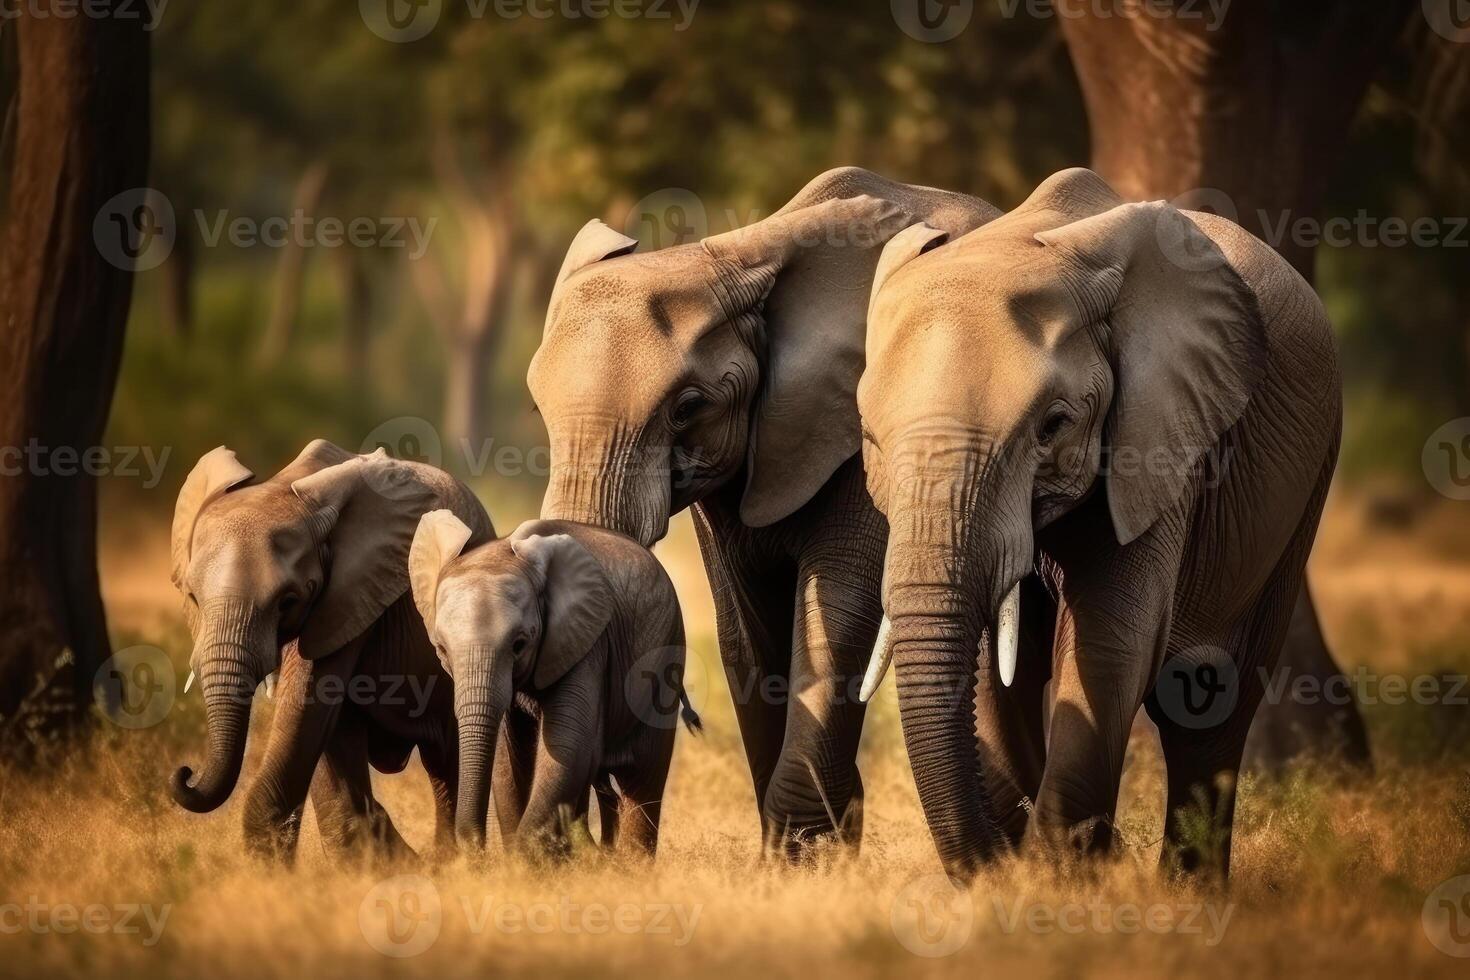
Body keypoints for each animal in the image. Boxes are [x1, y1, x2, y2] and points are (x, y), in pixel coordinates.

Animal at [168, 437, 493, 858]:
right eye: (192, 597)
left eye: (288, 600)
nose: (185, 773)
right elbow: (317, 725)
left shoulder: (351, 595)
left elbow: (308, 702)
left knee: (445, 759)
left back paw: (447, 862)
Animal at [405, 514, 696, 858]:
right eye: (441, 649)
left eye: (519, 644)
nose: (476, 849)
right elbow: (508, 763)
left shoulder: (587, 644)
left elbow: (568, 748)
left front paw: (525, 858)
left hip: (665, 658)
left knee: (642, 778)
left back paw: (628, 864)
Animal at [526, 168, 999, 858]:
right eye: (537, 408)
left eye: (687, 407)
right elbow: (745, 633)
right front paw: (821, 848)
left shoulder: (862, 431)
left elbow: (838, 613)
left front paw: (800, 859)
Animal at [858, 168, 1346, 881]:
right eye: (868, 438)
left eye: (1053, 426)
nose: (1001, 860)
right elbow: (995, 668)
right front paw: (1048, 862)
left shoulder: (1159, 439)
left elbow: (1111, 640)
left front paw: (1064, 877)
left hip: (1307, 485)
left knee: (1211, 703)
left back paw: (1188, 894)